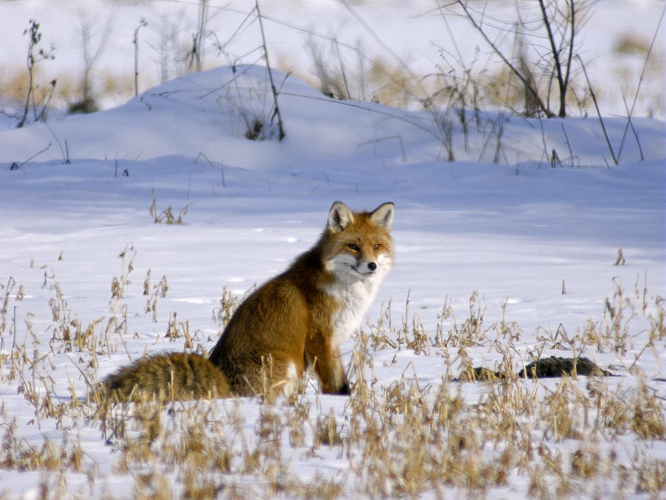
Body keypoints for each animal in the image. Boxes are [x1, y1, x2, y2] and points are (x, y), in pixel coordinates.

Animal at [102, 201, 394, 402]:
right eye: (353, 246)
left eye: (376, 246)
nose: (371, 265)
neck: (343, 288)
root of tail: (221, 380)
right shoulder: (318, 338)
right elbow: (332, 383)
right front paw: (337, 403)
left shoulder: (333, 341)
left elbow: (341, 380)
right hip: (286, 363)